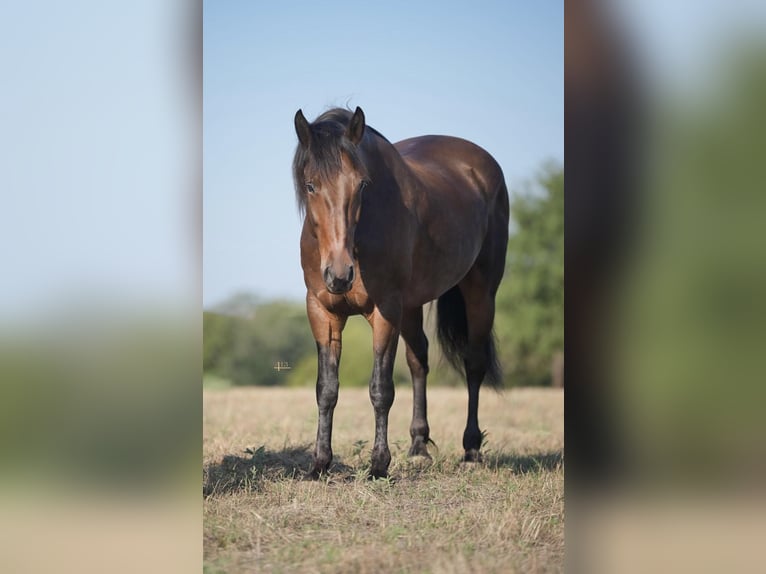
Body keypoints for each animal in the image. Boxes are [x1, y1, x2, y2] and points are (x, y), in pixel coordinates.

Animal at [292, 106, 510, 480]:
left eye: (361, 184)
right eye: (310, 185)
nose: (340, 274)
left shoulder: (385, 310)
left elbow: (381, 389)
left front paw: (379, 465)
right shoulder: (322, 311)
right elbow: (326, 389)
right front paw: (320, 463)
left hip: (481, 292)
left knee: (474, 363)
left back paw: (471, 449)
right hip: (411, 307)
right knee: (418, 359)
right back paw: (419, 446)